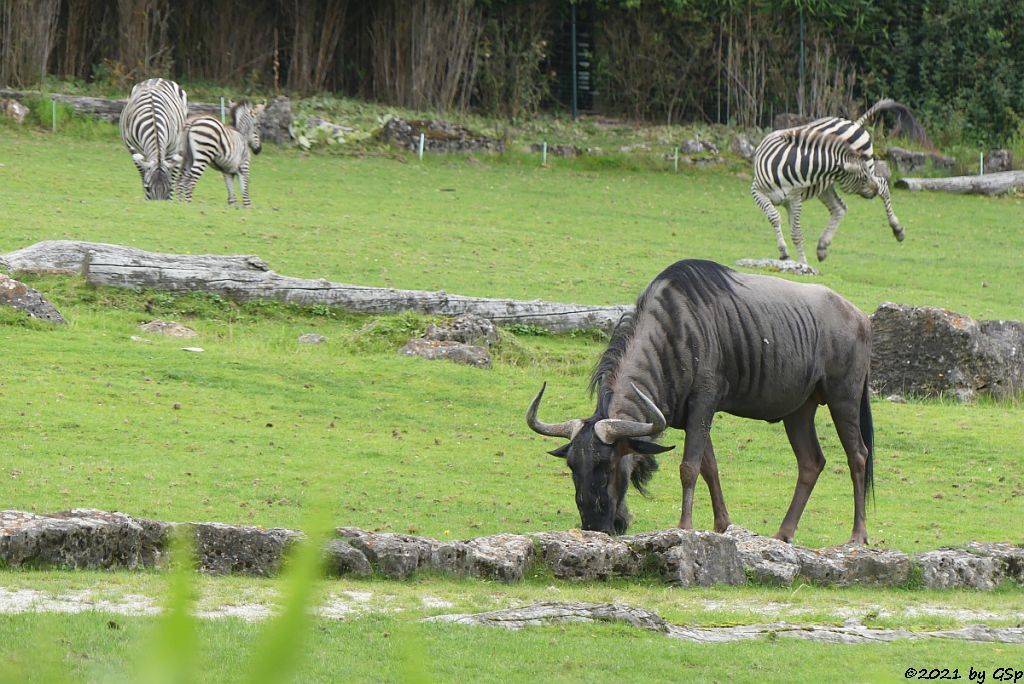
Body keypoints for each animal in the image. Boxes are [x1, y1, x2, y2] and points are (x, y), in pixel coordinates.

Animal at [749, 98, 933, 264]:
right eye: (862, 177)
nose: (872, 190)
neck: (790, 165)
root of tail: (854, 123)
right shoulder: (757, 191)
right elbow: (774, 216)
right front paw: (785, 253)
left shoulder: (795, 199)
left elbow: (796, 232)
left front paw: (801, 263)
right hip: (826, 187)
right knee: (841, 208)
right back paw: (822, 247)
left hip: (863, 169)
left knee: (883, 185)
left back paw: (897, 229)